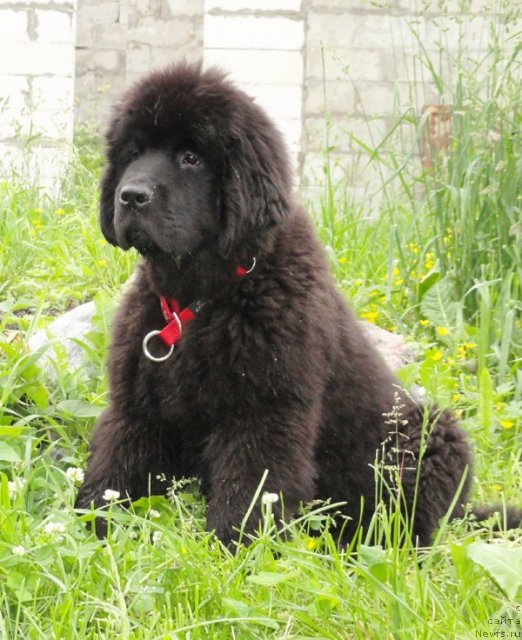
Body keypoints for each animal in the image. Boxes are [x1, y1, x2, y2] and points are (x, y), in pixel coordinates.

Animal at [75, 62, 516, 544]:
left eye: (192, 157)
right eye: (133, 152)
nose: (131, 196)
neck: (202, 298)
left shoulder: (267, 409)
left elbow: (250, 487)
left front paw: (235, 546)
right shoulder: (137, 407)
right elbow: (115, 469)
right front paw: (88, 528)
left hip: (428, 436)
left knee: (406, 527)